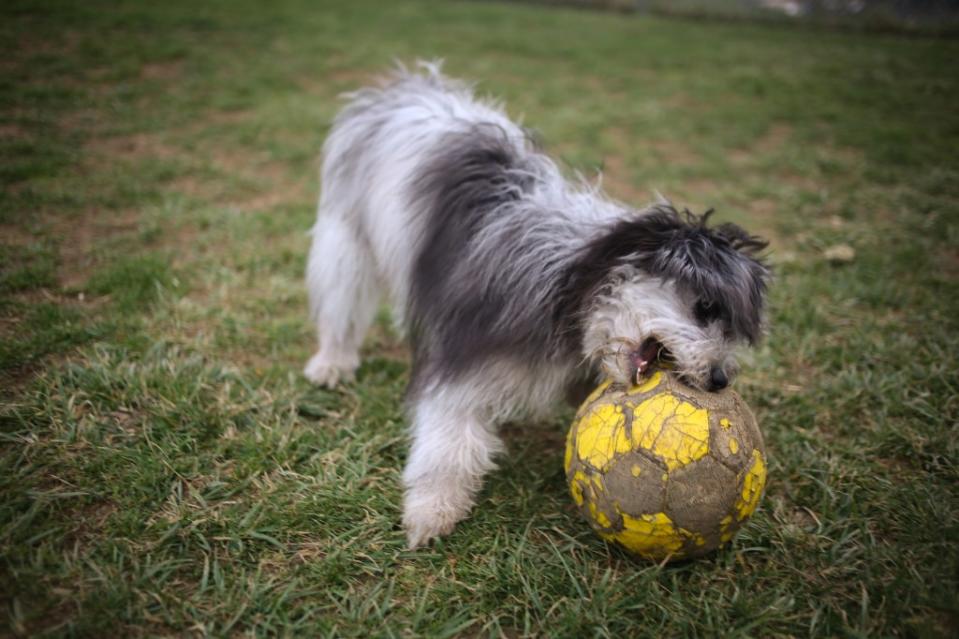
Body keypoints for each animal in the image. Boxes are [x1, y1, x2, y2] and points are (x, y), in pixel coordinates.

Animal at [304, 61, 768, 552]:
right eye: (705, 307)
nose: (719, 381)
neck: (571, 283)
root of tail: (411, 85)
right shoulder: (461, 360)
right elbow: (448, 441)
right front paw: (431, 510)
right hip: (346, 236)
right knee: (342, 299)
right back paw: (332, 361)